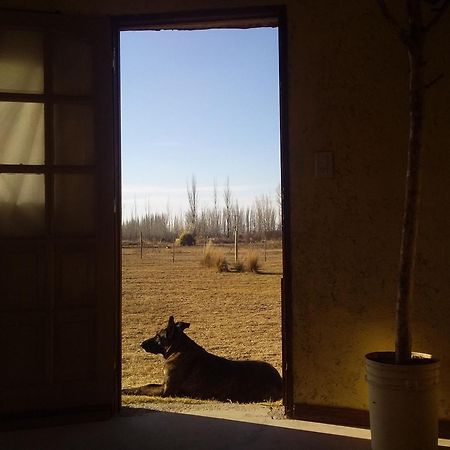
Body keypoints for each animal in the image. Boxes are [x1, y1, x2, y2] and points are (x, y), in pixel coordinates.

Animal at [122, 314, 282, 402]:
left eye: (157, 336)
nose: (141, 344)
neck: (178, 349)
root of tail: (280, 381)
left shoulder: (166, 391)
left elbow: (144, 387)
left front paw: (125, 390)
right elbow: (148, 384)